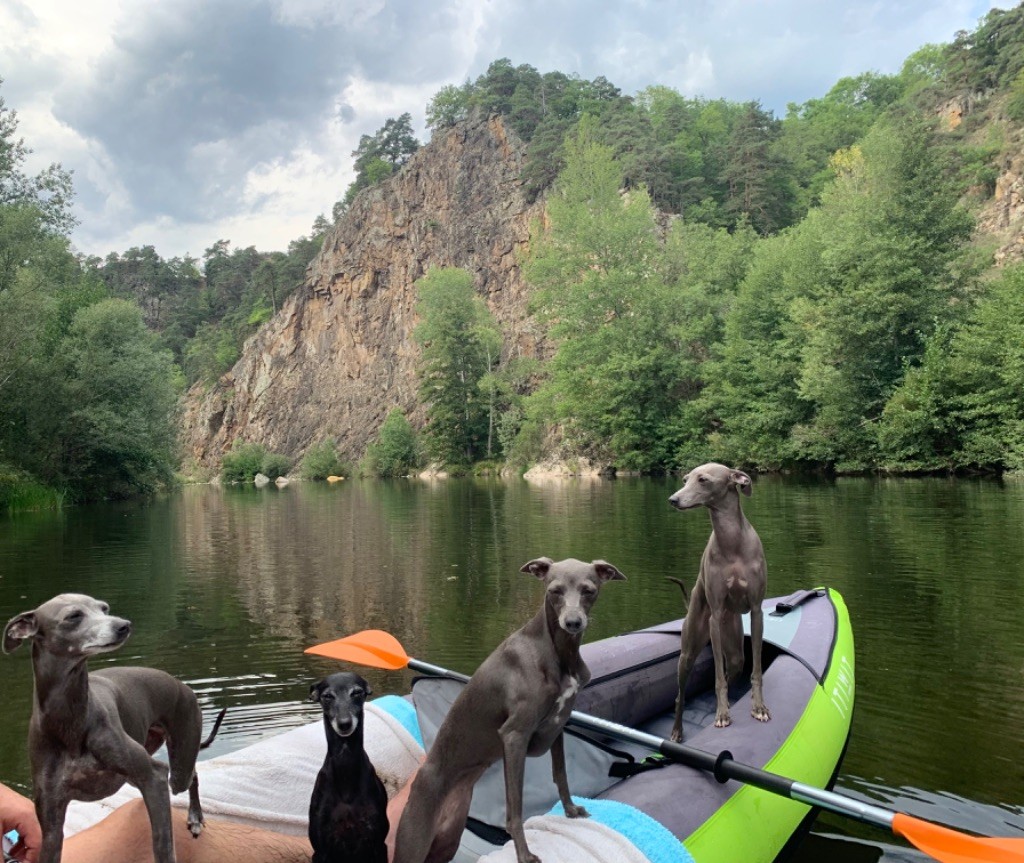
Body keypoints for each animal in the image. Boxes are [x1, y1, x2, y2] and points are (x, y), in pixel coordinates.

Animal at [2, 593, 226, 863]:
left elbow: (163, 844)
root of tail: (182, 686)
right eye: (73, 616)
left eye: (104, 608)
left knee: (191, 775)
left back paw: (195, 817)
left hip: (177, 764)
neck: (71, 722)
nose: (124, 625)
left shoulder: (154, 776)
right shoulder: (51, 822)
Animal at [395, 556, 626, 863]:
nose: (573, 622)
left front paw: (570, 810)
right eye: (554, 590)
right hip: (415, 839)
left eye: (588, 590)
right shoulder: (514, 736)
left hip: (447, 840)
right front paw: (524, 854)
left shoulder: (558, 726)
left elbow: (561, 774)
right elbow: (515, 808)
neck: (556, 652)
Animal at [671, 464, 770, 741]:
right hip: (689, 650)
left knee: (733, 667)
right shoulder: (715, 616)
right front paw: (722, 714)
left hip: (734, 646)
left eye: (703, 480)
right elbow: (717, 677)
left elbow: (756, 669)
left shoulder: (756, 611)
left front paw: (758, 707)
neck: (732, 543)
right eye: (685, 479)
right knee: (680, 696)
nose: (673, 499)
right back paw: (677, 731)